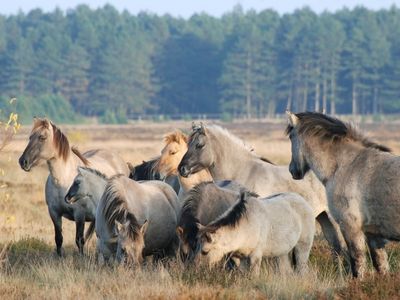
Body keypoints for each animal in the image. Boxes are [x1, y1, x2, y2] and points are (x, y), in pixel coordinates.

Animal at [18, 118, 129, 255]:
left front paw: (81, 257)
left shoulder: (79, 215)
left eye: (42, 137)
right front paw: (59, 257)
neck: (62, 180)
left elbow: (79, 240)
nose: (23, 161)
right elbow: (58, 239)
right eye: (30, 137)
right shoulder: (54, 213)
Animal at [179, 123, 346, 258]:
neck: (245, 170)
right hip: (324, 218)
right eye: (188, 145)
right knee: (336, 248)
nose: (182, 168)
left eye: (199, 145)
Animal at [288, 111, 396, 278]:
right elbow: (381, 265)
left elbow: (357, 262)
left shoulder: (350, 227)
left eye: (291, 137)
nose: (292, 170)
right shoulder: (373, 235)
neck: (348, 165)